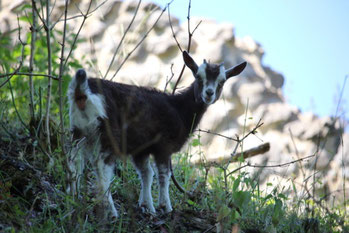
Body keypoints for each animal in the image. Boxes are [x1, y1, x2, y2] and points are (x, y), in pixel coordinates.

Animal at [67, 50, 245, 218]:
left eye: (222, 82)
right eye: (198, 76)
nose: (208, 93)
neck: (179, 109)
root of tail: (83, 92)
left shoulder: (141, 149)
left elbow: (146, 173)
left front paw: (147, 206)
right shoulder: (163, 145)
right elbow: (164, 175)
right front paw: (165, 207)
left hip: (79, 130)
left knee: (74, 160)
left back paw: (73, 196)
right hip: (108, 133)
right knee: (102, 166)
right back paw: (111, 210)